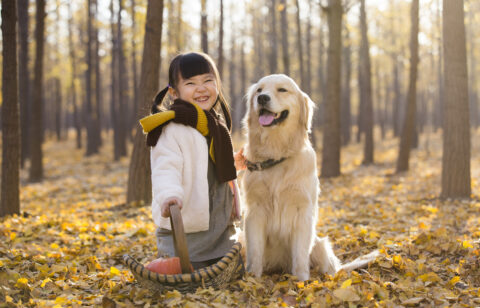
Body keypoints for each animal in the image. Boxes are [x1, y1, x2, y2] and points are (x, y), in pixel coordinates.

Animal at [242, 74, 376, 282]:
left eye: (282, 90)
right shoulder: (254, 210)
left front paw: (302, 281)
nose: (262, 98)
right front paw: (252, 279)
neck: (277, 154)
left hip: (320, 244)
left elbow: (300, 254)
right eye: (258, 90)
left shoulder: (302, 210)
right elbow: (255, 251)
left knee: (330, 267)